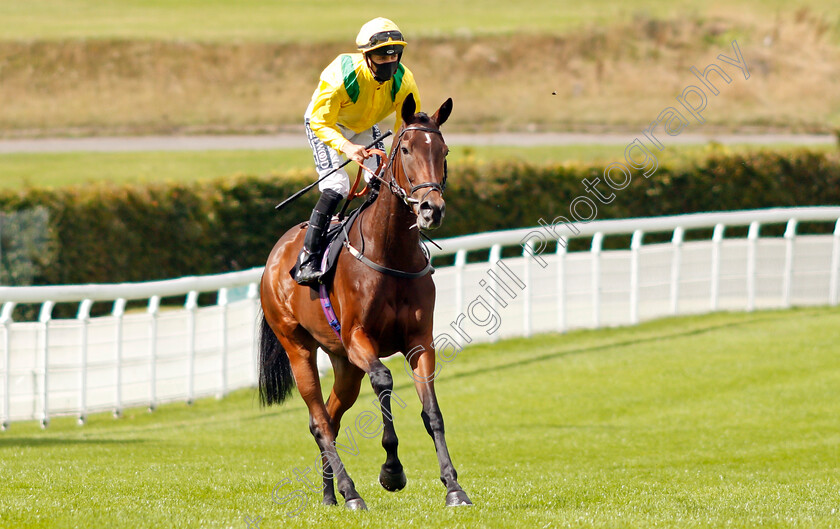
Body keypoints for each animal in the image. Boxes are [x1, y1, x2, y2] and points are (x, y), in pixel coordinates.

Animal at [260, 93, 470, 510]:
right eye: (405, 149)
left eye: (443, 151)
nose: (431, 209)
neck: (391, 254)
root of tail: (276, 254)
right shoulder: (359, 337)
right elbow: (384, 380)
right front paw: (392, 472)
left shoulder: (419, 342)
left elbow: (432, 411)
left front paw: (453, 486)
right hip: (298, 347)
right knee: (320, 421)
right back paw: (351, 491)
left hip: (344, 364)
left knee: (331, 416)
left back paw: (332, 493)